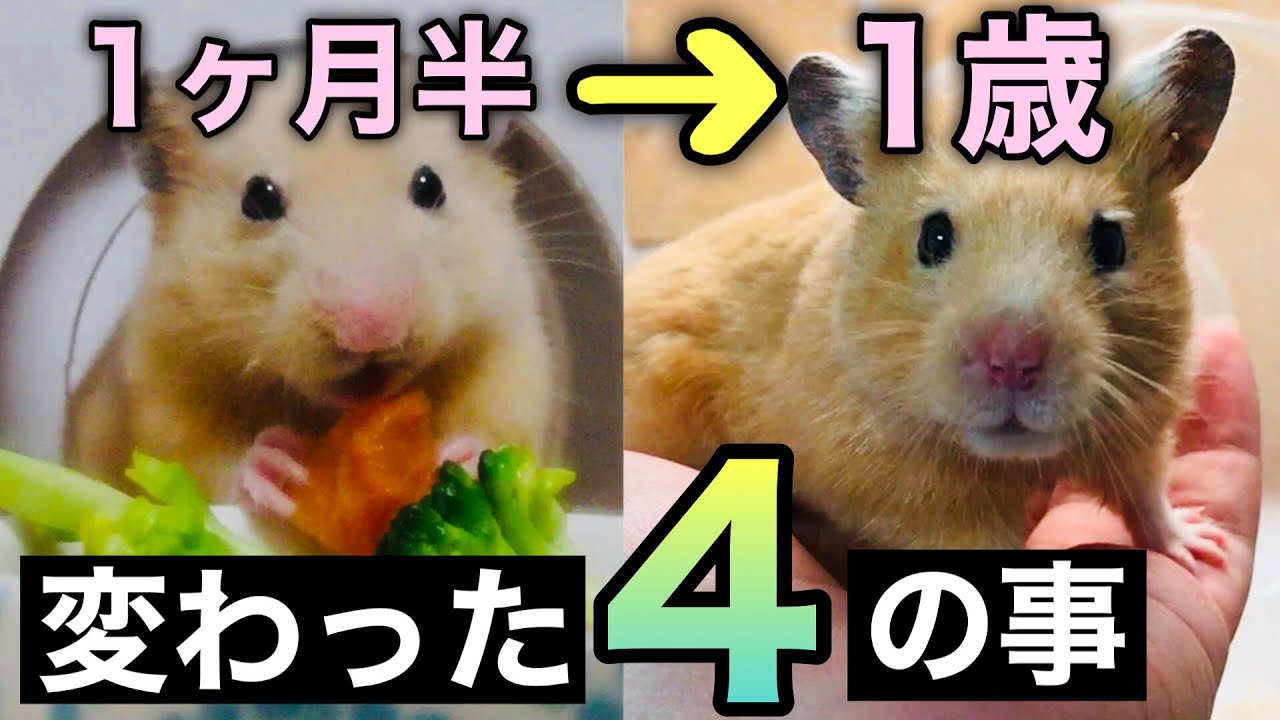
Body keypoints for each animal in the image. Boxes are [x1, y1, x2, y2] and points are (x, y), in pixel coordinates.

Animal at [64, 56, 565, 520]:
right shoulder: (164, 375)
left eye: (430, 186)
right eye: (258, 197)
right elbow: (198, 455)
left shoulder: (510, 341)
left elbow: (501, 423)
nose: (371, 332)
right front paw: (282, 469)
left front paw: (459, 460)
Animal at [623, 27, 1236, 576]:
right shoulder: (912, 501)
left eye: (1110, 242)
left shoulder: (1143, 422)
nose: (1012, 361)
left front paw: (1203, 545)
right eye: (933, 237)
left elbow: (1148, 496)